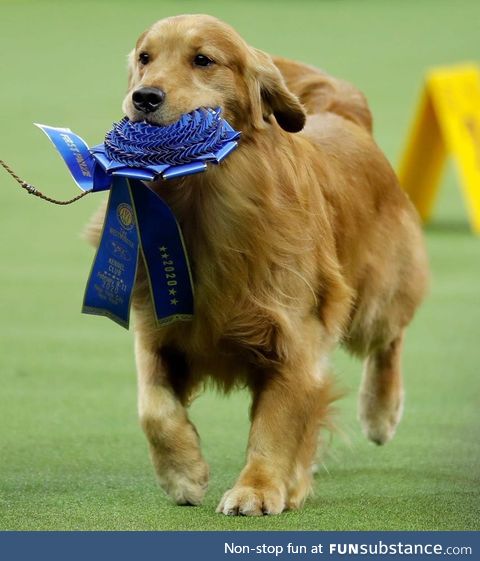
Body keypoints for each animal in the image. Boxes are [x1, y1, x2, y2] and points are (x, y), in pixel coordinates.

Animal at [86, 13, 428, 516]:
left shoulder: (294, 337)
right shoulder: (157, 326)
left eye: (203, 59)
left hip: (374, 295)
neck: (201, 200)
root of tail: (343, 114)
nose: (144, 97)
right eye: (145, 58)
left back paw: (380, 411)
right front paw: (183, 473)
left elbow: (276, 424)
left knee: (390, 339)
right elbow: (154, 409)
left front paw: (259, 489)